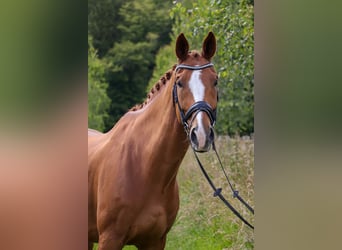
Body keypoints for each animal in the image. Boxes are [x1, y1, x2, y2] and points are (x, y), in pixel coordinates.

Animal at [89, 32, 218, 249]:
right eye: (179, 83)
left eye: (215, 81)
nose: (201, 135)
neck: (143, 164)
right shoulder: (110, 238)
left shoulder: (155, 240)